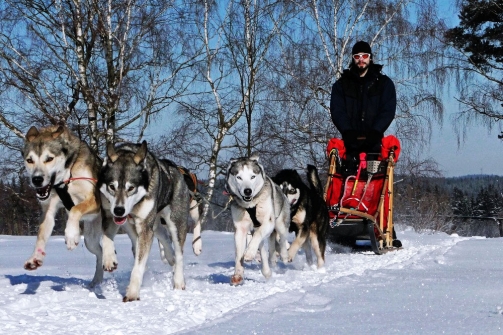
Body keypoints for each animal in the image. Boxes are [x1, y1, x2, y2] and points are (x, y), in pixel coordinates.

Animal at [22, 124, 117, 288]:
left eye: (49, 159)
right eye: (29, 160)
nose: (37, 179)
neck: (66, 176)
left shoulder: (94, 200)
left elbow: (75, 209)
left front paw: (71, 234)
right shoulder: (48, 210)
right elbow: (41, 235)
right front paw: (36, 257)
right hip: (90, 239)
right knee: (99, 252)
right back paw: (96, 280)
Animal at [97, 140, 202, 304]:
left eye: (131, 188)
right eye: (112, 186)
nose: (119, 210)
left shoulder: (145, 227)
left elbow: (138, 266)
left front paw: (132, 293)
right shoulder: (109, 214)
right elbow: (107, 237)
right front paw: (109, 259)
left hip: (176, 221)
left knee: (179, 252)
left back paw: (179, 280)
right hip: (155, 224)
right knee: (163, 237)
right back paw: (169, 256)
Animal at [225, 154, 292, 284]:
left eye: (252, 176)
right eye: (239, 177)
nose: (247, 191)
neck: (250, 206)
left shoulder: (267, 222)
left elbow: (258, 235)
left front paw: (249, 253)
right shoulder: (240, 228)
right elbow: (239, 253)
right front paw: (238, 274)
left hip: (281, 223)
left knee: (282, 239)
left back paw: (284, 256)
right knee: (263, 250)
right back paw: (267, 269)